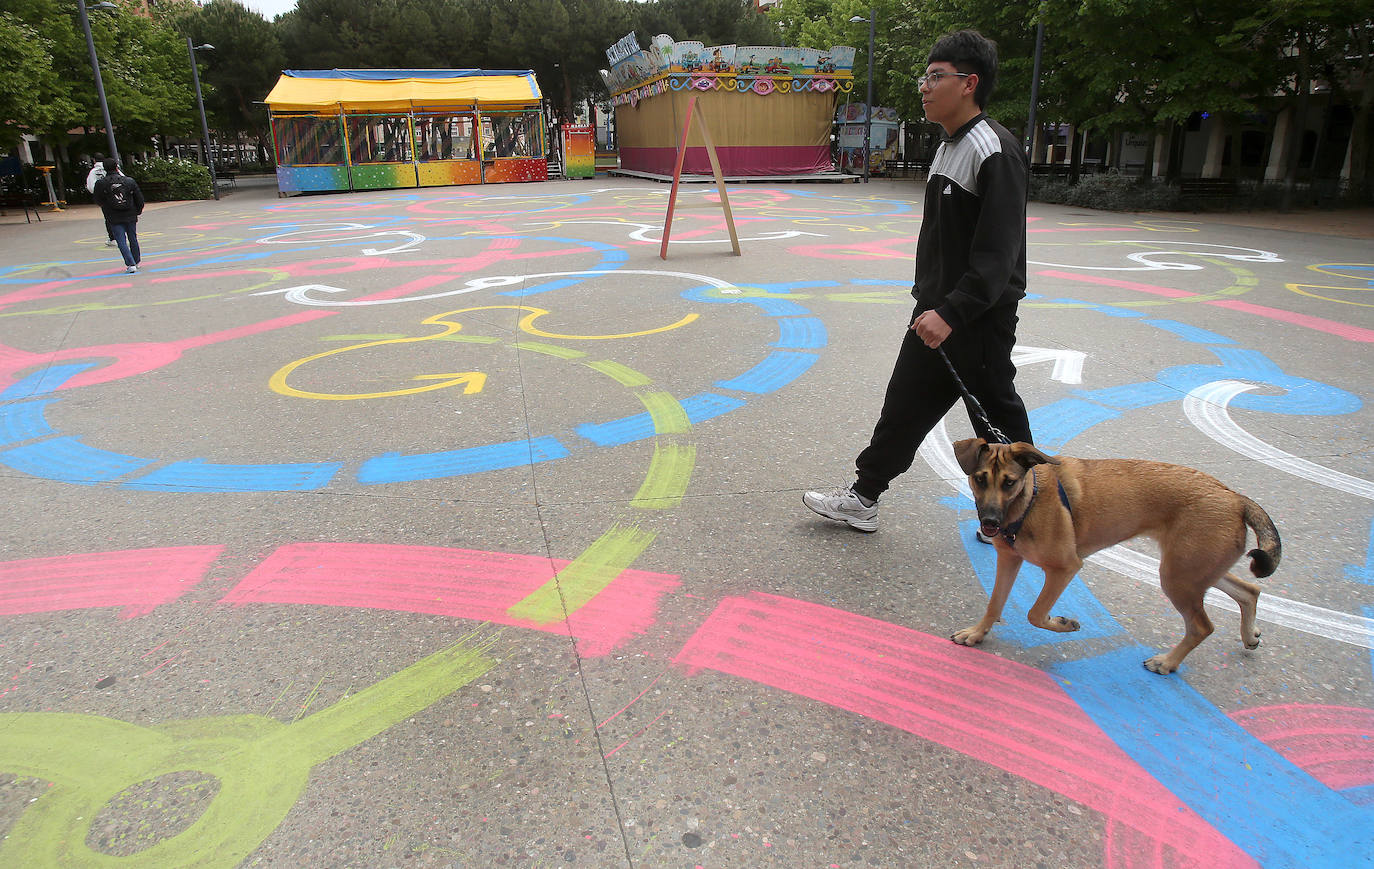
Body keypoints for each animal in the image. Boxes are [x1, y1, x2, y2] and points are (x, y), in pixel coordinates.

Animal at [956, 437, 1275, 676]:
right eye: (980, 479)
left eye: (1009, 482)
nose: (990, 522)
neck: (1028, 500)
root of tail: (1235, 498)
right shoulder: (1009, 560)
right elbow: (995, 604)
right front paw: (977, 633)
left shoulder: (1065, 568)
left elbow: (1035, 614)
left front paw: (1062, 623)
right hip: (1194, 571)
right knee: (1249, 591)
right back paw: (1249, 635)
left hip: (1178, 578)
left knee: (1202, 627)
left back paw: (1167, 663)